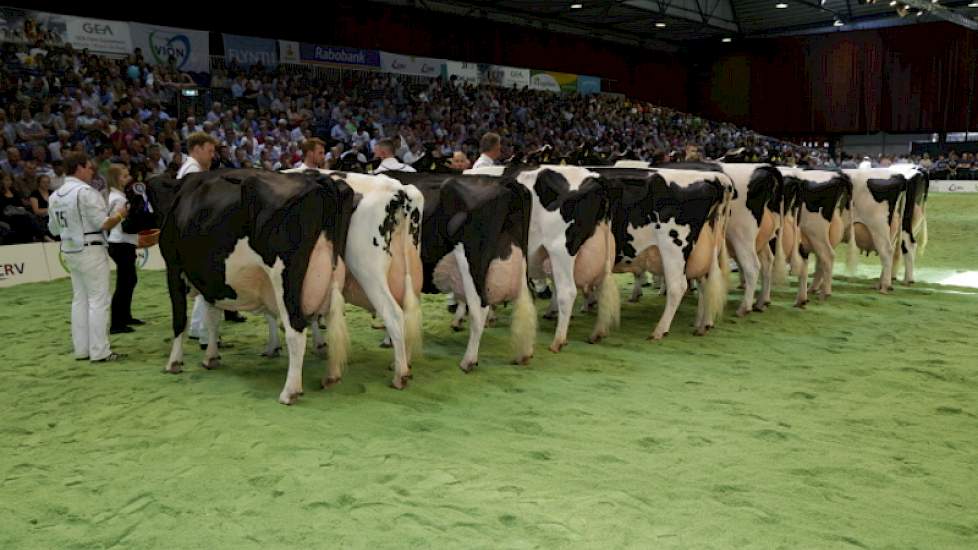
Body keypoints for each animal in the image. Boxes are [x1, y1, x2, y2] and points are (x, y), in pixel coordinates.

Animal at [155, 168, 358, 406]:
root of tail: (320, 180)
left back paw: (289, 392)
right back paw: (332, 376)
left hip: (285, 278)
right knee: (333, 321)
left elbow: (180, 320)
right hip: (333, 274)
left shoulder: (173, 267)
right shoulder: (211, 281)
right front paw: (211, 357)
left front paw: (174, 362)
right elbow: (212, 319)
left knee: (296, 330)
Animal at [466, 165, 616, 354]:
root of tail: (595, 176)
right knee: (602, 287)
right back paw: (597, 333)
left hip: (560, 250)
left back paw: (558, 341)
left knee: (567, 291)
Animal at [588, 166, 732, 338]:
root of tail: (716, 178)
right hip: (702, 253)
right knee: (706, 283)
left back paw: (659, 331)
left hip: (673, 249)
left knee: (678, 287)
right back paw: (702, 325)